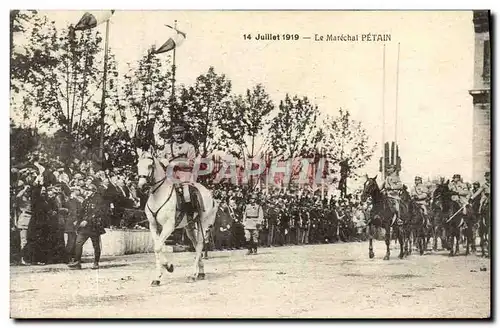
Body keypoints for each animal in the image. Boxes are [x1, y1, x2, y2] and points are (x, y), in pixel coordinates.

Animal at [136, 150, 218, 286]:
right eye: (138, 165)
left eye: (150, 165)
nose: (141, 186)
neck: (158, 195)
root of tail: (210, 195)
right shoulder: (153, 226)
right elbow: (157, 248)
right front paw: (157, 277)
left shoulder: (169, 226)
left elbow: (158, 247)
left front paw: (168, 267)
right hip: (190, 227)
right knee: (195, 244)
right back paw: (200, 272)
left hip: (204, 223)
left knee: (199, 245)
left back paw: (192, 275)